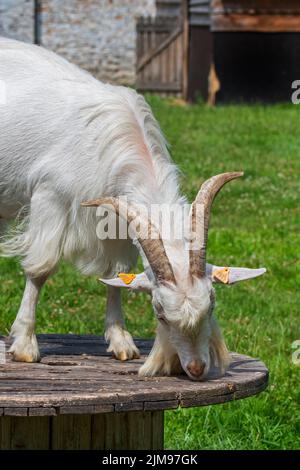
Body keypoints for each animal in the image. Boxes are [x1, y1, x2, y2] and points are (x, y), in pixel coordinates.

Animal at [0, 38, 268, 380]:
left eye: (212, 305)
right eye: (160, 312)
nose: (194, 368)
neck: (106, 138)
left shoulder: (116, 222)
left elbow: (117, 274)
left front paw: (121, 341)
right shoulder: (49, 196)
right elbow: (41, 268)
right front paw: (24, 344)